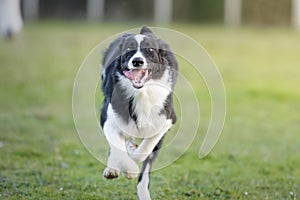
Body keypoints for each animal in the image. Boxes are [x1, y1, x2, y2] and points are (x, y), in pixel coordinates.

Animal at [100, 26, 178, 198]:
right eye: (129, 49)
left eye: (149, 50)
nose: (137, 61)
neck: (141, 92)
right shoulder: (108, 119)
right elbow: (116, 144)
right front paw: (129, 168)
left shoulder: (167, 120)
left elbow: (144, 150)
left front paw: (132, 157)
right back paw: (112, 167)